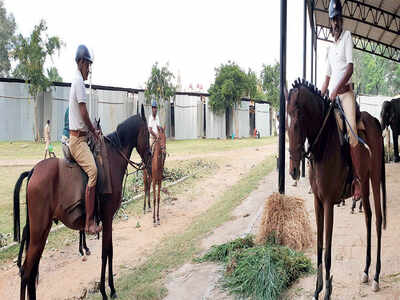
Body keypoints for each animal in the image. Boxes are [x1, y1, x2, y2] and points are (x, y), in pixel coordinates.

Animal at [12, 105, 152, 300]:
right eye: (147, 132)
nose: (150, 155)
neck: (112, 159)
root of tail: (33, 171)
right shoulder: (107, 218)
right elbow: (106, 252)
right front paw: (106, 290)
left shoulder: (106, 220)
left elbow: (108, 251)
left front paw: (110, 288)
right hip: (39, 230)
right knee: (26, 272)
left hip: (42, 230)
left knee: (31, 273)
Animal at [288, 80, 388, 300]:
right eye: (283, 119)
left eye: (298, 120)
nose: (293, 170)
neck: (323, 144)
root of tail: (375, 122)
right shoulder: (317, 201)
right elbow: (319, 246)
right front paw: (317, 290)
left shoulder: (328, 203)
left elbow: (327, 252)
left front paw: (327, 291)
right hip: (364, 183)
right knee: (368, 216)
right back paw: (366, 270)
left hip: (375, 178)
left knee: (377, 219)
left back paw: (376, 276)